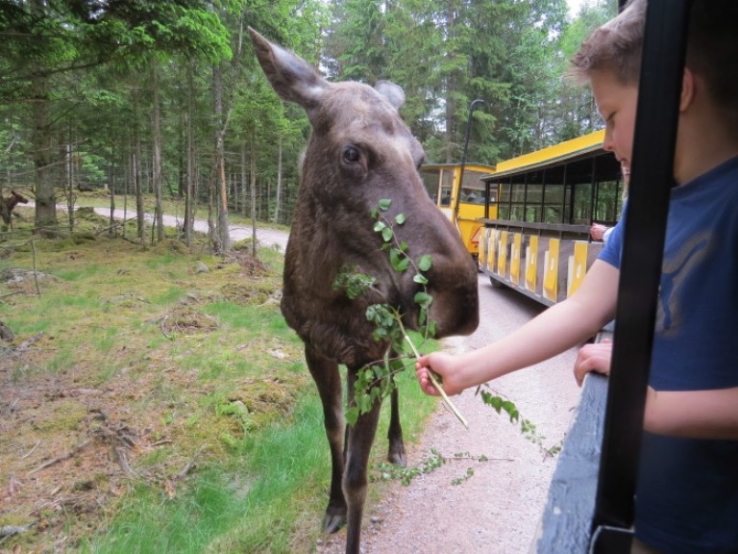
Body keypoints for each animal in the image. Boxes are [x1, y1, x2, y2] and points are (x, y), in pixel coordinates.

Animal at [247, 30, 478, 552]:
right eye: (352, 152)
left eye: (420, 157)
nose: (461, 299)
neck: (321, 294)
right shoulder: (315, 346)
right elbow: (334, 430)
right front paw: (331, 506)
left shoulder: (366, 354)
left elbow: (359, 477)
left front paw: (352, 492)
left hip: (391, 339)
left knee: (397, 378)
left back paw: (397, 443)